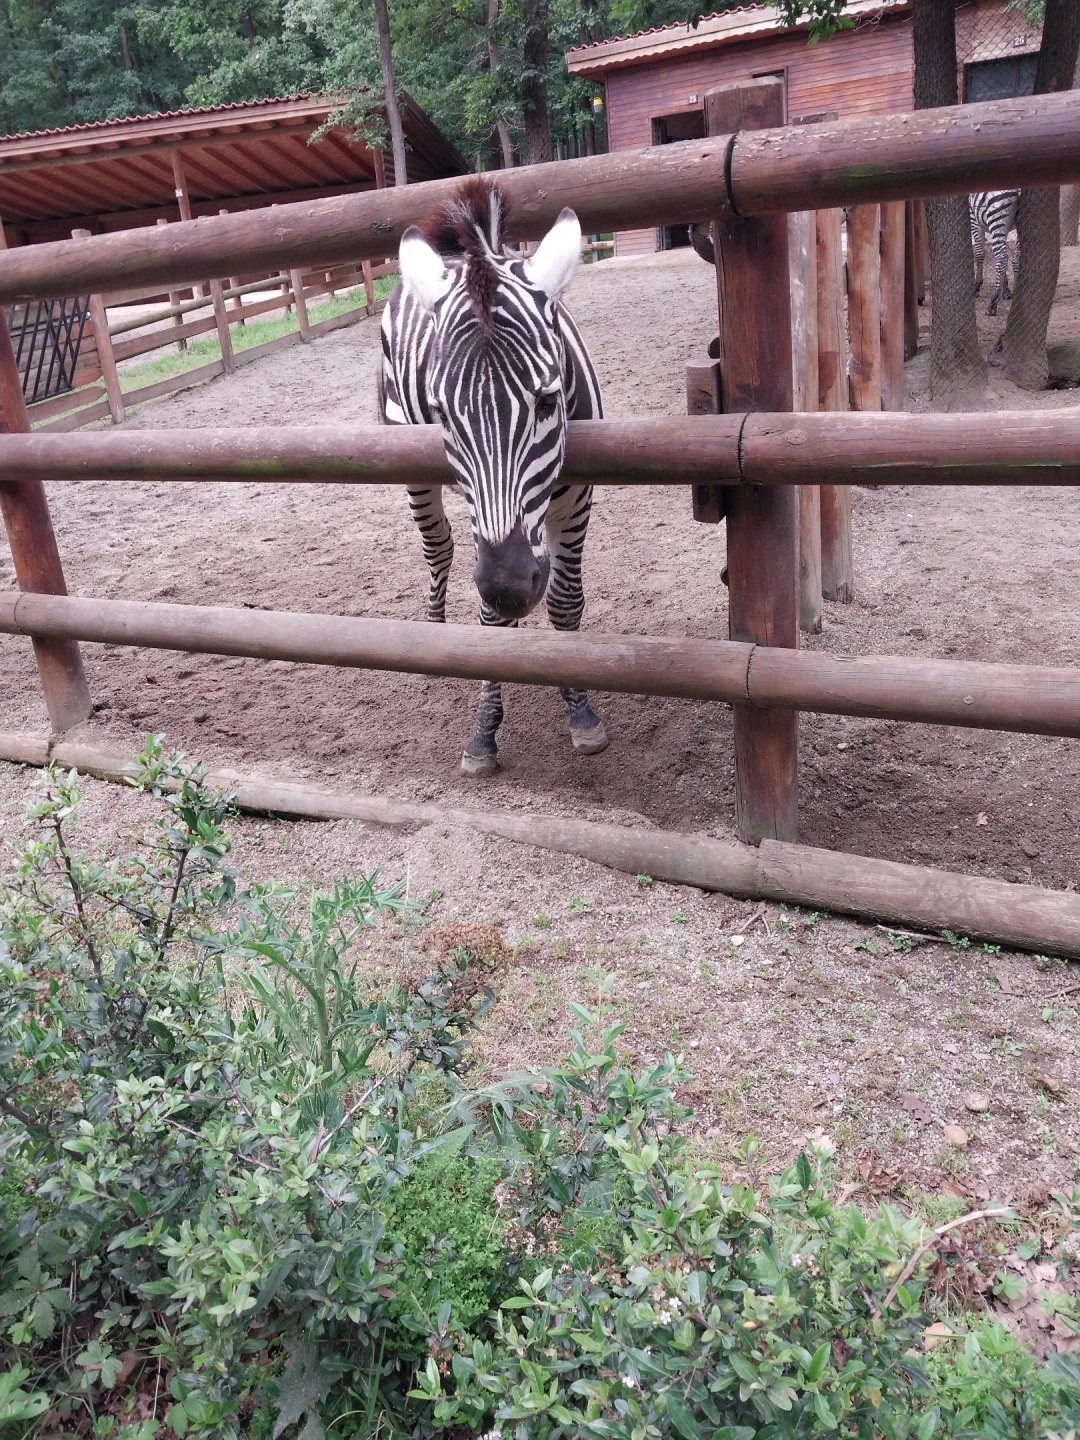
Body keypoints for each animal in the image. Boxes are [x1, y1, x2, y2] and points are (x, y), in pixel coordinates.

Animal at [380, 176, 608, 777]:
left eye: (548, 401)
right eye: (444, 413)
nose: (508, 588)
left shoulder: (577, 498)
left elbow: (565, 601)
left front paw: (580, 709)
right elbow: (487, 615)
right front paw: (485, 731)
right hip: (408, 461)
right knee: (438, 547)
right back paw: (435, 627)